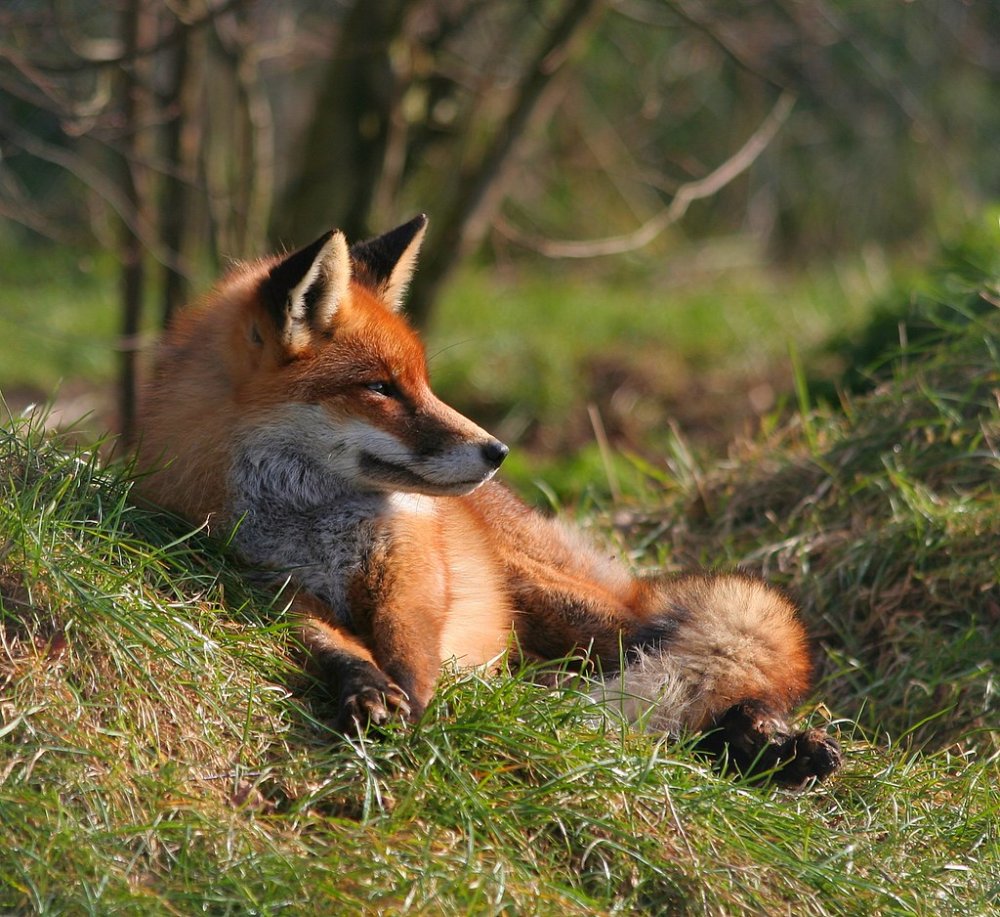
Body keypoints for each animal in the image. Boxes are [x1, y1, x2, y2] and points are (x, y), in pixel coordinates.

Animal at [131, 216, 836, 788]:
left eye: (423, 382)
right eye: (380, 388)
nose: (497, 450)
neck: (310, 521)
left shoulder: (414, 570)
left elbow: (410, 645)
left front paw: (416, 708)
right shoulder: (261, 584)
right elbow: (334, 645)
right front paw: (368, 692)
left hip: (570, 605)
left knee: (707, 665)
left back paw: (773, 743)